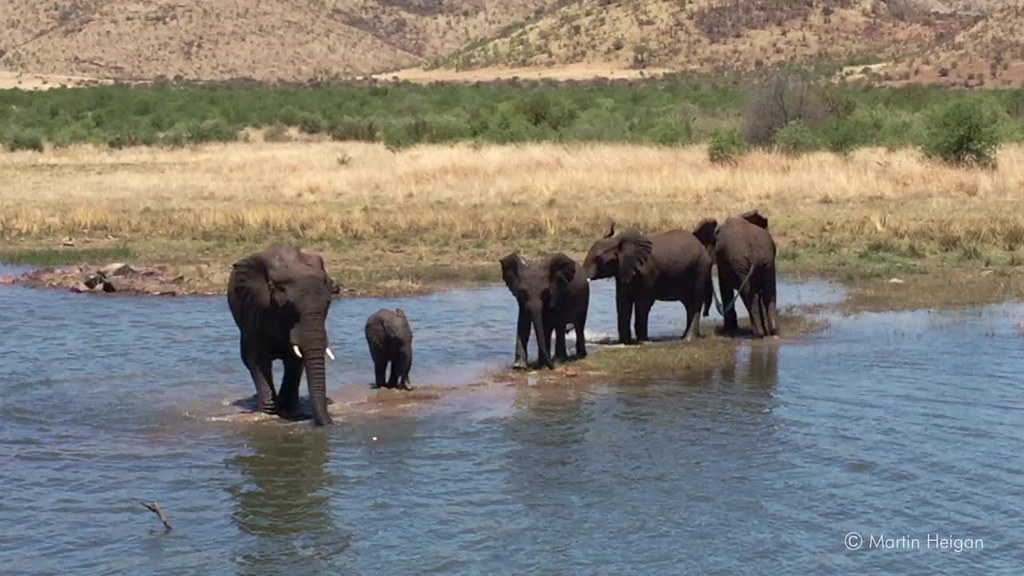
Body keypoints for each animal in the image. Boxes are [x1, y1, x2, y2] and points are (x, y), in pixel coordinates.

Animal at [227, 243, 340, 426]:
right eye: (289, 307)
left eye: (328, 305)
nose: (329, 423)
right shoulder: (256, 308)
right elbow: (257, 359)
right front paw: (268, 413)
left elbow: (295, 359)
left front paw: (289, 412)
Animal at [583, 219, 717, 345]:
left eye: (599, 259)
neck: (620, 241)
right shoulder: (624, 270)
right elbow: (623, 302)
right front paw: (625, 342)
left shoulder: (647, 272)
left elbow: (643, 304)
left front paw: (643, 342)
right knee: (688, 304)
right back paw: (684, 337)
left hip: (701, 268)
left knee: (695, 302)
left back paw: (688, 339)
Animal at [710, 210, 779, 338]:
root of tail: (754, 254)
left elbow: (725, 287)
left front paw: (728, 330)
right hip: (767, 261)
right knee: (768, 293)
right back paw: (772, 332)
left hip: (740, 264)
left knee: (749, 296)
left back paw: (758, 334)